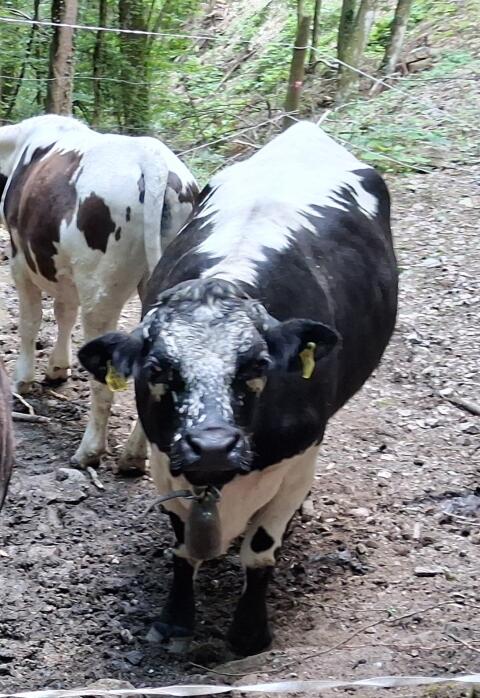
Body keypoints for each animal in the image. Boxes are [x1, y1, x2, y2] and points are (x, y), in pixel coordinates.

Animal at [0, 114, 198, 469]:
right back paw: (133, 454)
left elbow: (30, 321)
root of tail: (154, 159)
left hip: (101, 291)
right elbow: (64, 312)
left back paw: (90, 450)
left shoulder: (20, 258)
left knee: (104, 379)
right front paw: (57, 368)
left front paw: (23, 379)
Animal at [78, 121, 398, 655]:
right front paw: (174, 619)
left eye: (257, 365)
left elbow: (260, 551)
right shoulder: (166, 459)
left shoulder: (299, 459)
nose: (212, 445)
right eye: (157, 369)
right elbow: (184, 546)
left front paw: (249, 630)